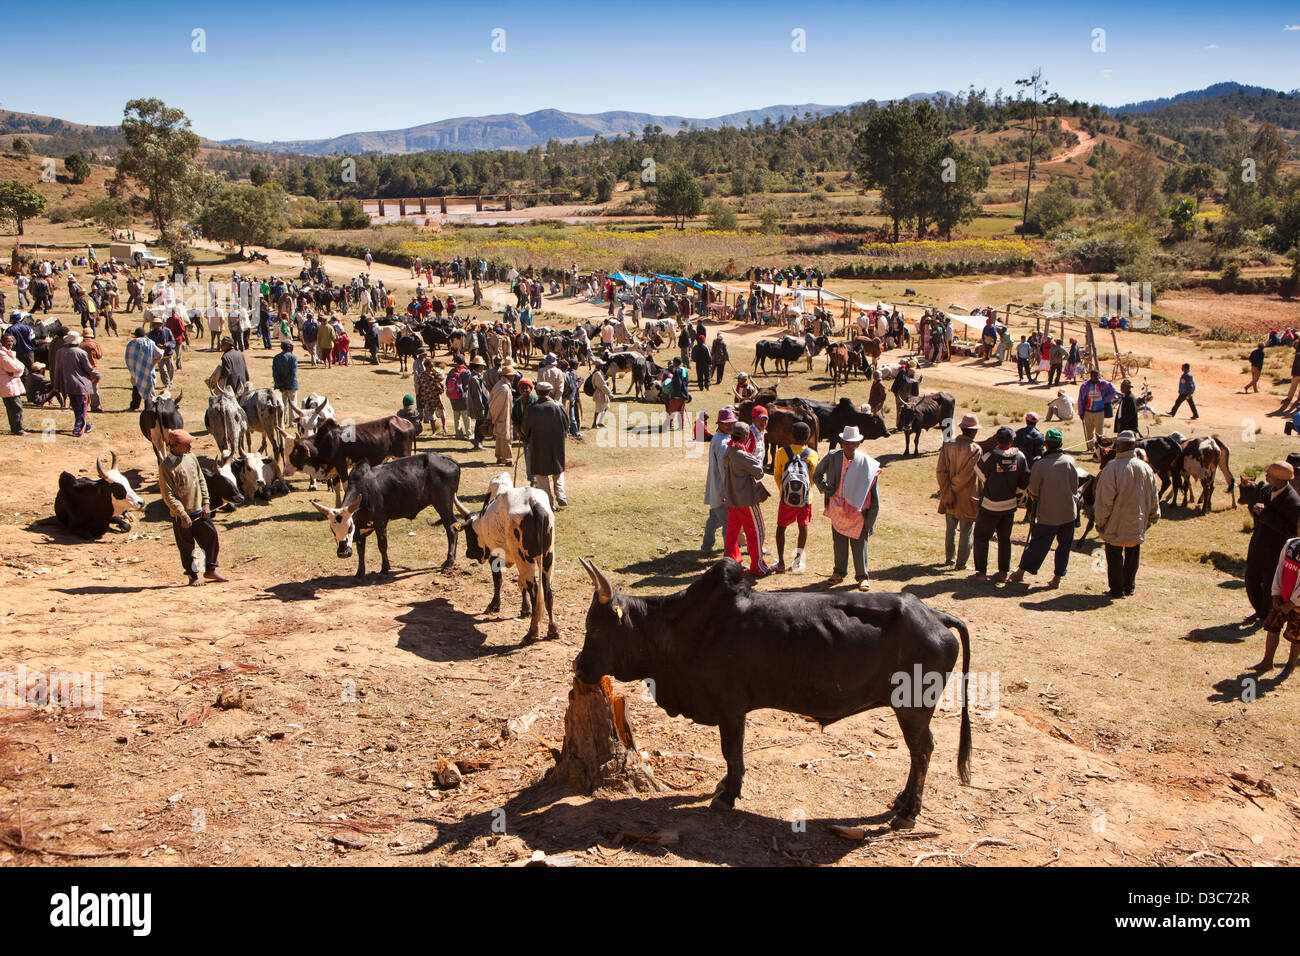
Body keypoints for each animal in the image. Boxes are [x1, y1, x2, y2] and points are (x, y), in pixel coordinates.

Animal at [574, 561, 972, 832]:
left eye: (596, 629)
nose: (579, 666)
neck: (685, 629)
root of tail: (933, 614)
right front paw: (725, 788)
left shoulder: (731, 707)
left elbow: (732, 753)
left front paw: (728, 794)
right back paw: (903, 801)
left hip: (913, 707)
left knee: (923, 750)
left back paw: (908, 812)